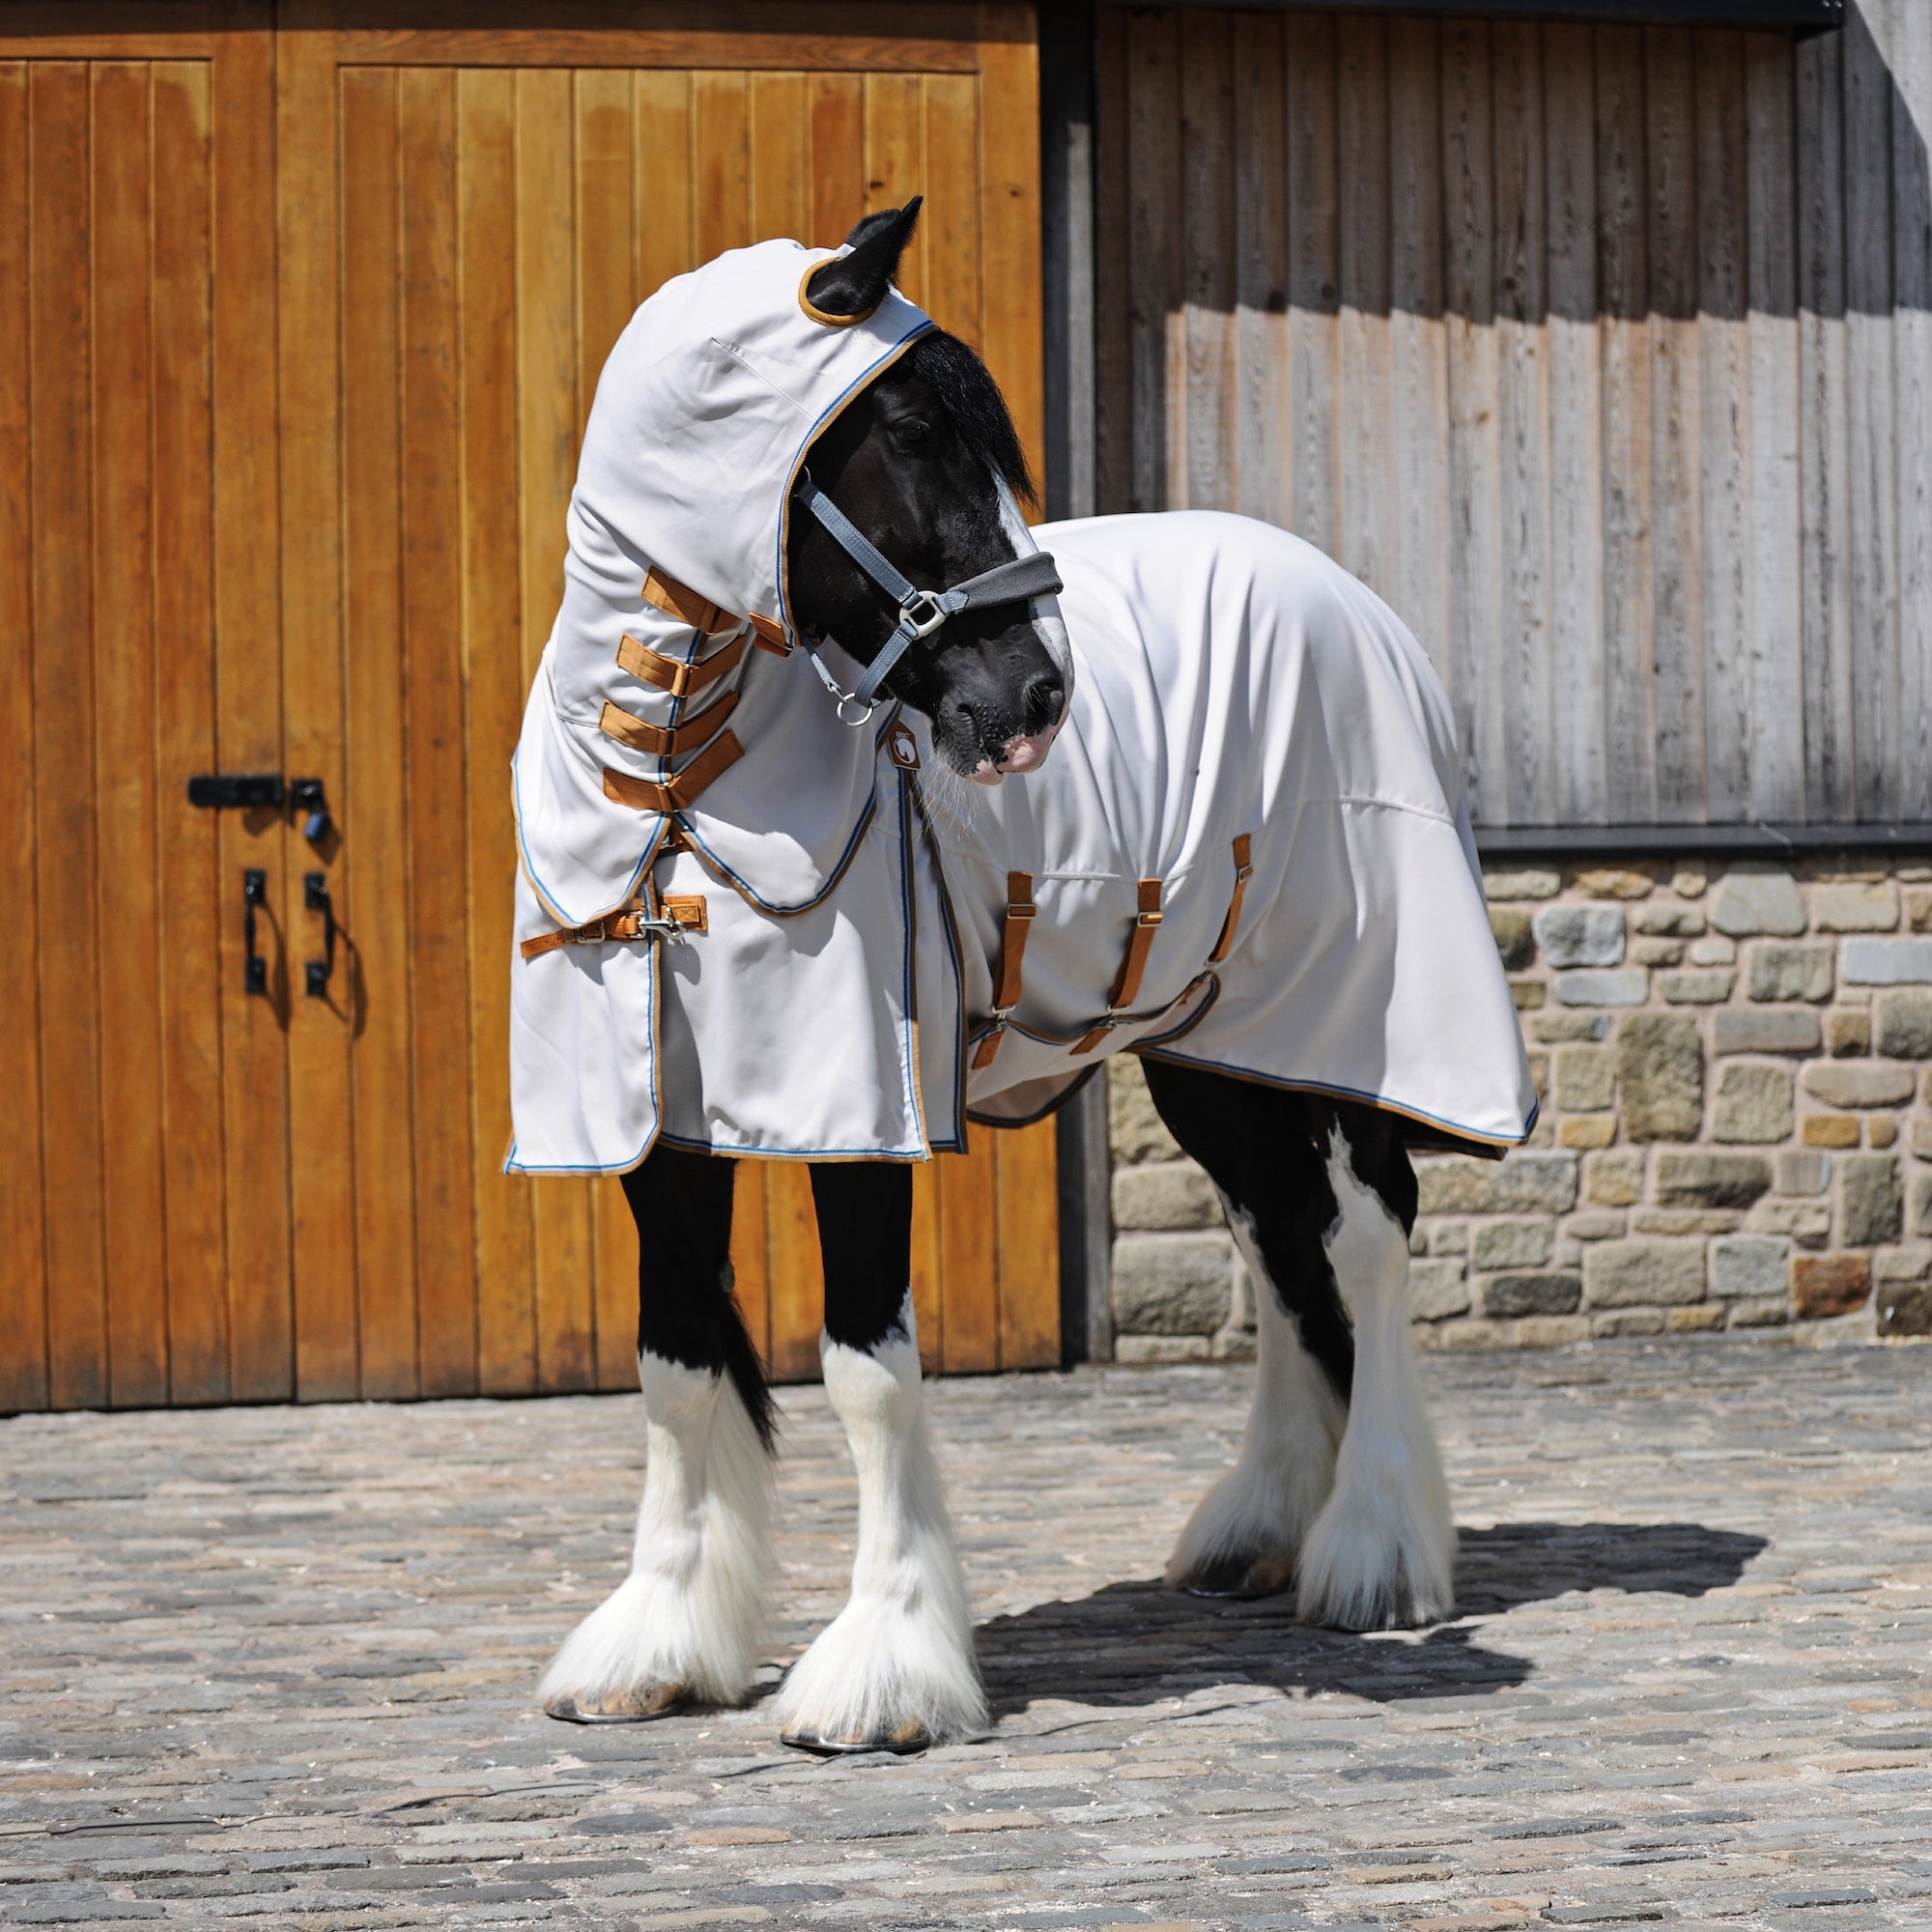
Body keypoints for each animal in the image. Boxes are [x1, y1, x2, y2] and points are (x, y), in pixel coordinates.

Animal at [513, 202, 1536, 1755]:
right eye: (910, 433)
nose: (1036, 701)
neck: (673, 785)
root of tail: (1350, 602)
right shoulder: (654, 1132)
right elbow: (678, 1361)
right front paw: (660, 1641)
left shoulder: (861, 1111)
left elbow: (866, 1371)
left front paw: (883, 1670)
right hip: (1209, 1055)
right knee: (1279, 1243)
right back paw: (1263, 1525)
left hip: (1351, 1026)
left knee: (1365, 1238)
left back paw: (1373, 1548)